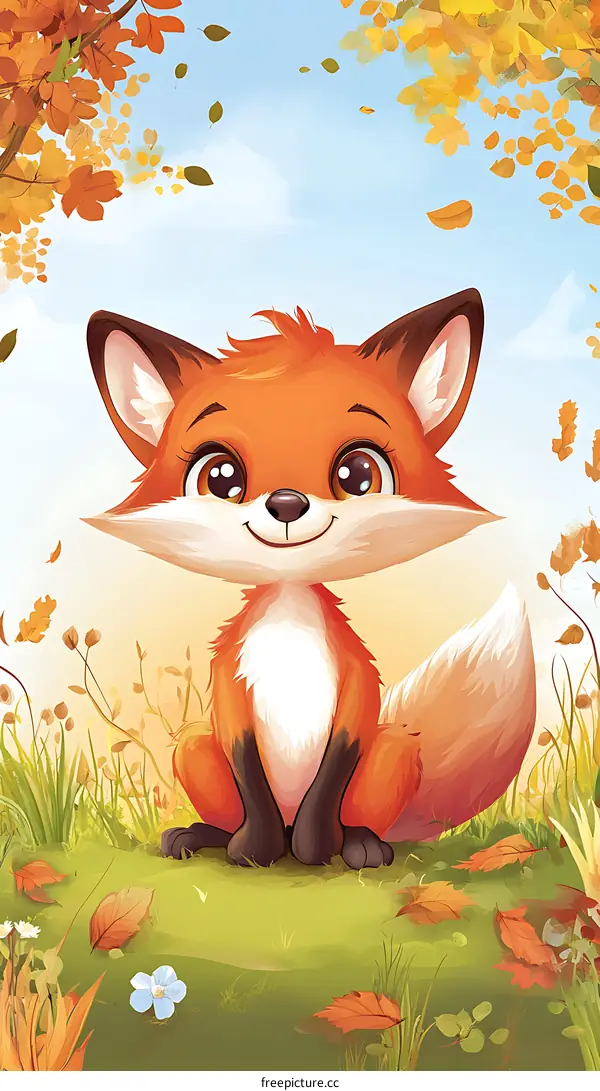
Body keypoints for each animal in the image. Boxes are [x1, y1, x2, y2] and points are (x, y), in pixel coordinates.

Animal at [84, 288, 536, 869]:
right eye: (220, 476)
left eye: (358, 473)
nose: (285, 503)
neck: (289, 619)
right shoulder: (231, 683)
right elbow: (245, 763)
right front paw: (256, 850)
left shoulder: (355, 682)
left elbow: (336, 764)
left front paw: (314, 848)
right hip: (192, 744)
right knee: (223, 792)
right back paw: (206, 835)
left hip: (395, 749)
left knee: (360, 809)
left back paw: (358, 843)